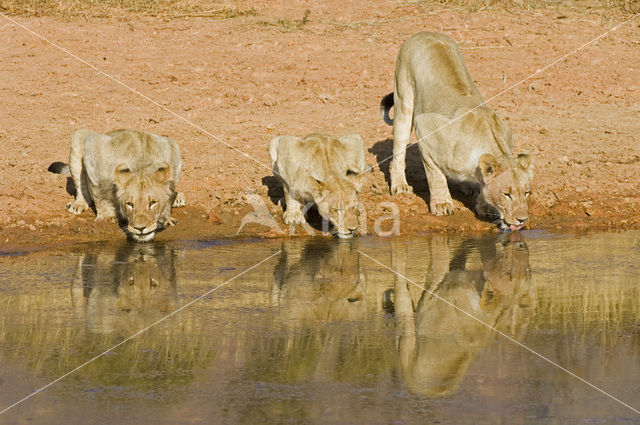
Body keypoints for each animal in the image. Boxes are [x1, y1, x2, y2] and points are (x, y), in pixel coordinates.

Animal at [49, 128, 185, 242]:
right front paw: (107, 218)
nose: (140, 228)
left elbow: (169, 195)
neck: (141, 166)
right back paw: (78, 205)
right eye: (130, 204)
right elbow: (100, 193)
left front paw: (166, 218)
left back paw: (179, 198)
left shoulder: (172, 152)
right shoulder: (94, 148)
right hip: (79, 135)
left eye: (152, 203)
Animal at [380, 32, 536, 232]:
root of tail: (424, 33)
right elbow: (435, 175)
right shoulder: (425, 128)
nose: (522, 219)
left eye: (527, 193)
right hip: (403, 98)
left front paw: (484, 205)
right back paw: (400, 185)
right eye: (506, 194)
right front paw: (442, 204)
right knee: (398, 150)